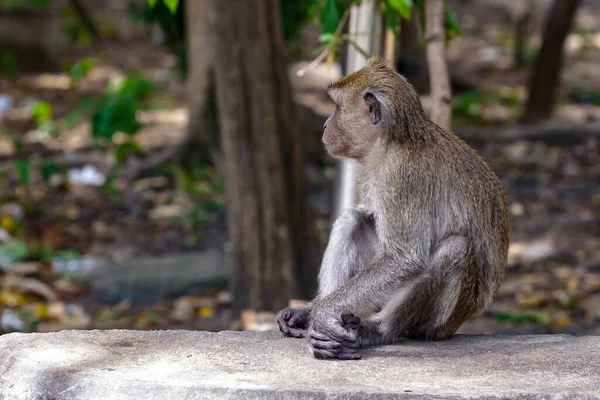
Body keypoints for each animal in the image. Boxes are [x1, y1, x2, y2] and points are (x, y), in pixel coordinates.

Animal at [276, 55, 506, 360]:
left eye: (337, 108)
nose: (324, 126)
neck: (392, 143)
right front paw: (310, 312)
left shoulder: (403, 177)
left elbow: (405, 259)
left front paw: (324, 312)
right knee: (353, 219)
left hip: (443, 319)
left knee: (454, 248)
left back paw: (376, 331)